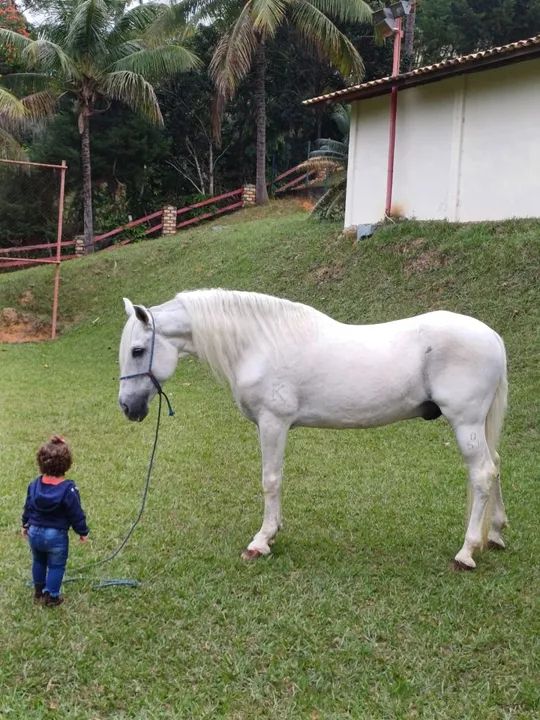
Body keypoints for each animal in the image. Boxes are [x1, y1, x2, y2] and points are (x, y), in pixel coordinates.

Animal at [118, 289, 508, 570]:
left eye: (138, 350)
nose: (127, 407)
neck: (258, 345)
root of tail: (493, 336)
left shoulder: (273, 423)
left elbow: (270, 479)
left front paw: (261, 541)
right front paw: (273, 533)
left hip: (465, 423)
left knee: (482, 474)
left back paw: (466, 552)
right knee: (495, 467)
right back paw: (495, 534)